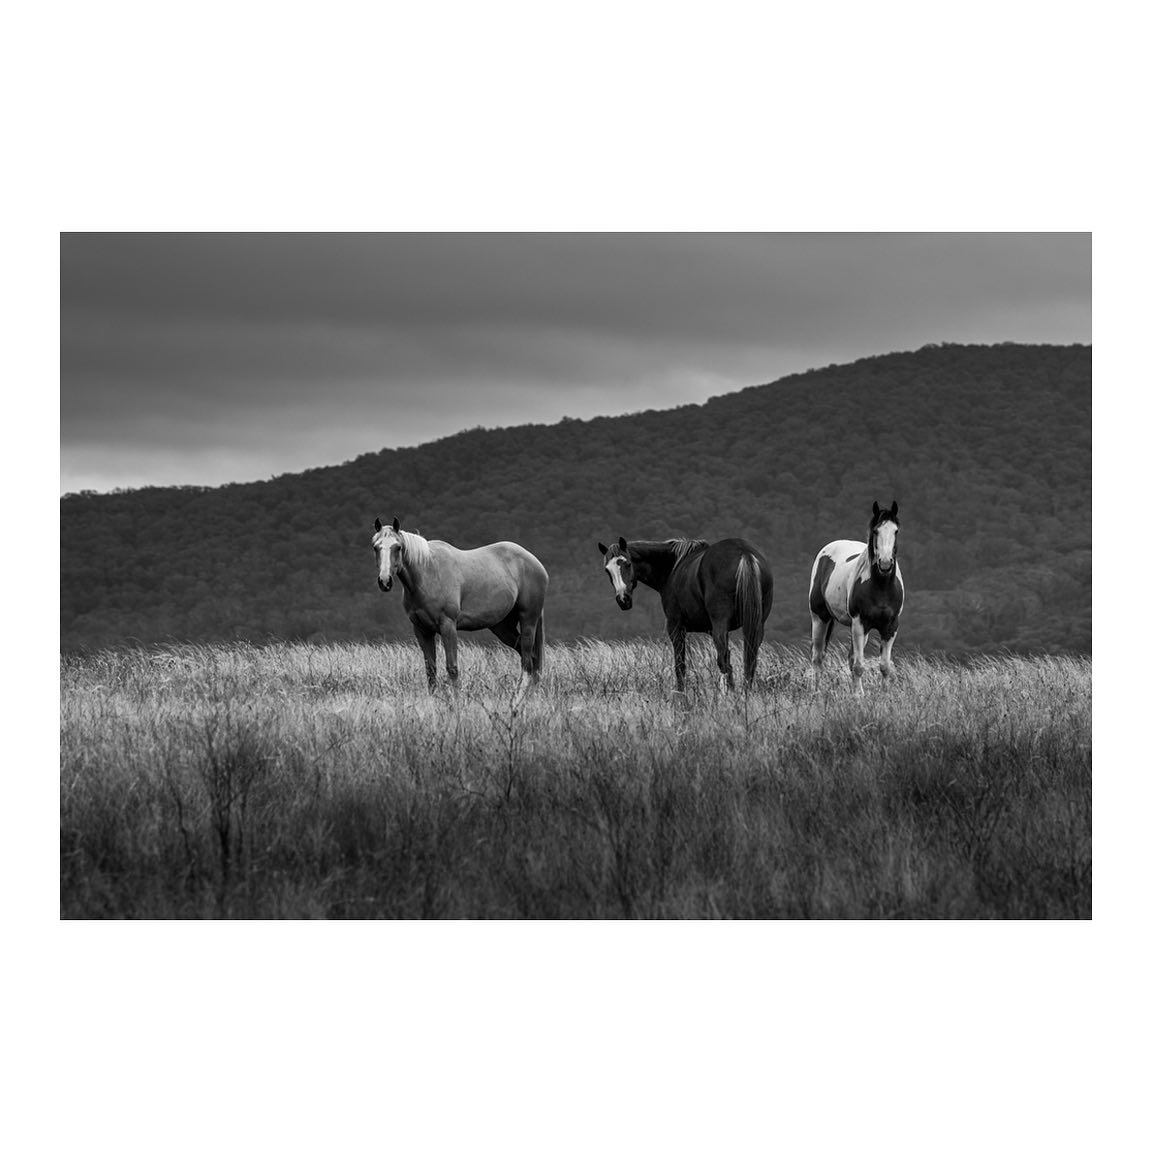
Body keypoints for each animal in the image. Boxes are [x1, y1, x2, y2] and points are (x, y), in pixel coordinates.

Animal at [372, 517, 548, 694]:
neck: (428, 573)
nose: (385, 581)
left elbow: (452, 668)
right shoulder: (422, 630)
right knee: (531, 659)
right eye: (375, 547)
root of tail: (535, 562)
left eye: (398, 547)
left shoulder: (448, 626)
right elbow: (431, 669)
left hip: (528, 620)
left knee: (527, 661)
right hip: (502, 627)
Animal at [597, 535, 774, 693]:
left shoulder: (676, 627)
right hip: (756, 625)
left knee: (725, 662)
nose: (623, 599)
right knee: (749, 660)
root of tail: (744, 552)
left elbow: (680, 666)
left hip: (720, 625)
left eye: (627, 563)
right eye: (607, 570)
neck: (672, 568)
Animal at [808, 501, 904, 693]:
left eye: (896, 531)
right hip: (820, 617)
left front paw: (885, 694)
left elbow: (885, 666)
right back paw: (817, 691)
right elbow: (859, 666)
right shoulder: (860, 623)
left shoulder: (890, 627)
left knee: (849, 658)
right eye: (876, 531)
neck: (881, 587)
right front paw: (859, 696)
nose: (885, 564)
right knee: (818, 657)